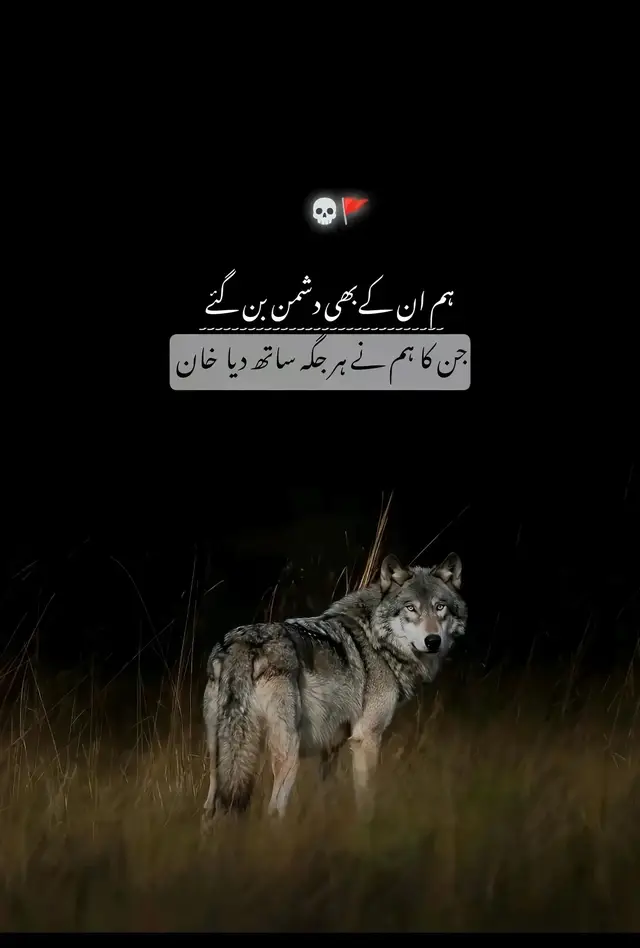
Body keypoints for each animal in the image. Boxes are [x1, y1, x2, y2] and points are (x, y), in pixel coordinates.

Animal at [202, 552, 467, 823]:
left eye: (440, 607)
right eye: (411, 608)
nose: (433, 641)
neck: (378, 641)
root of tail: (243, 642)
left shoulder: (330, 748)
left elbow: (326, 794)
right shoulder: (366, 738)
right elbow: (366, 799)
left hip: (219, 757)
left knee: (208, 809)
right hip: (289, 756)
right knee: (274, 810)